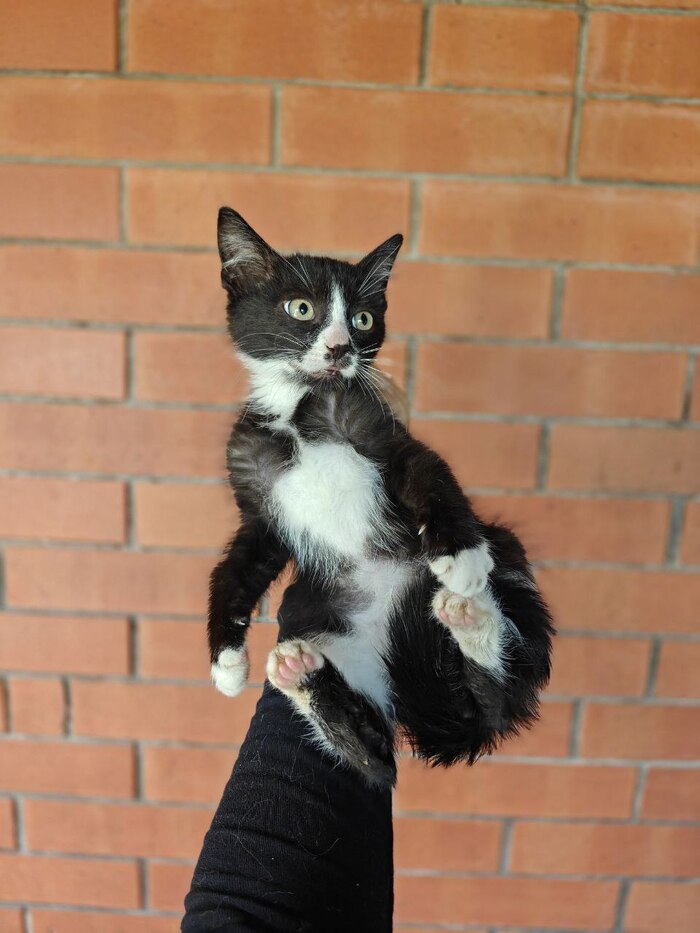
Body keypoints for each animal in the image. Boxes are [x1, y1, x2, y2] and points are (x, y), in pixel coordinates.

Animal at [208, 207, 554, 787]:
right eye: (301, 308)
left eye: (363, 319)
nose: (340, 347)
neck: (302, 409)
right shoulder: (259, 508)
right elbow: (232, 571)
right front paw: (227, 663)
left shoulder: (388, 439)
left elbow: (431, 476)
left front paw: (460, 556)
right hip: (316, 613)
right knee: (375, 757)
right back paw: (303, 678)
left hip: (504, 555)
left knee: (500, 687)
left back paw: (471, 612)